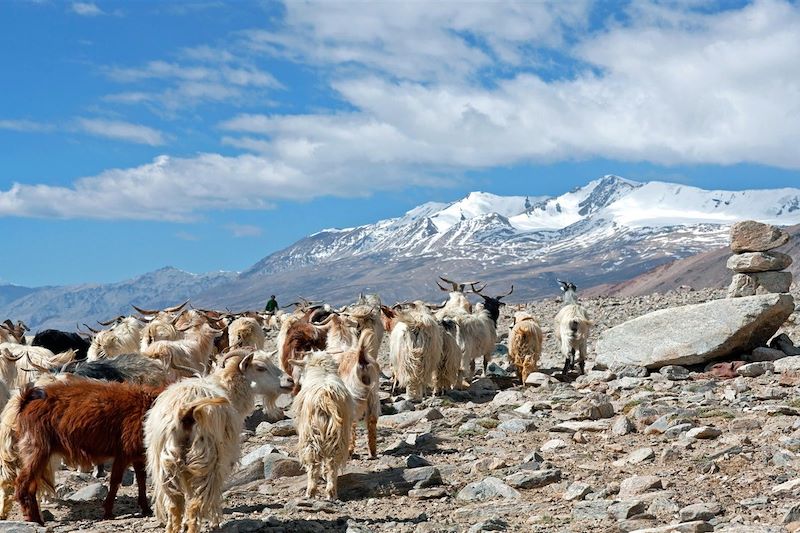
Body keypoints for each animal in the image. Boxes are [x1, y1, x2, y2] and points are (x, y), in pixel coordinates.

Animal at [15, 376, 162, 520]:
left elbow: (141, 480)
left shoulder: (138, 455)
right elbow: (115, 481)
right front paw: (108, 512)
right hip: (37, 448)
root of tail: (26, 403)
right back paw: (34, 520)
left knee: (31, 485)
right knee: (23, 483)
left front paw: (146, 509)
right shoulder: (124, 452)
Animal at [145, 350, 286, 532]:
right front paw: (214, 522)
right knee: (196, 504)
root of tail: (187, 410)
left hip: (166, 463)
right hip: (207, 459)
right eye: (260, 367)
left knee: (175, 505)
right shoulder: (223, 462)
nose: (290, 381)